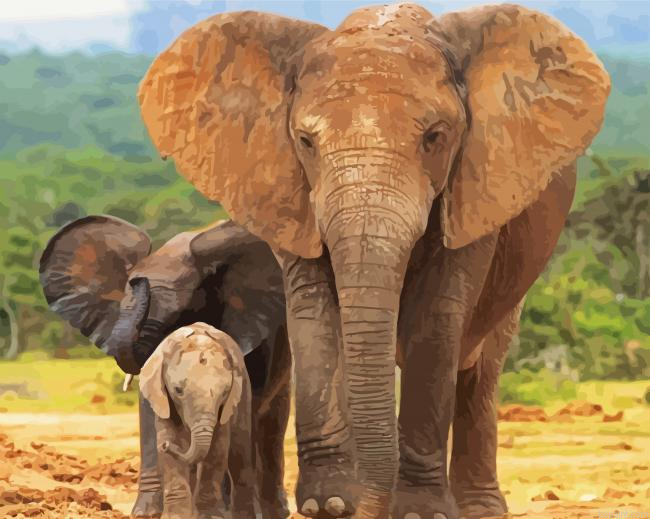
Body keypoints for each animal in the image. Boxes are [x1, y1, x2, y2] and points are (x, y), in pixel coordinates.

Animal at [139, 322, 255, 519]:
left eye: (225, 392)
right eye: (178, 390)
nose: (166, 446)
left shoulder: (226, 406)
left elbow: (218, 449)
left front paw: (210, 516)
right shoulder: (164, 402)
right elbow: (170, 444)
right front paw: (176, 516)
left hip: (245, 393)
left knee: (239, 455)